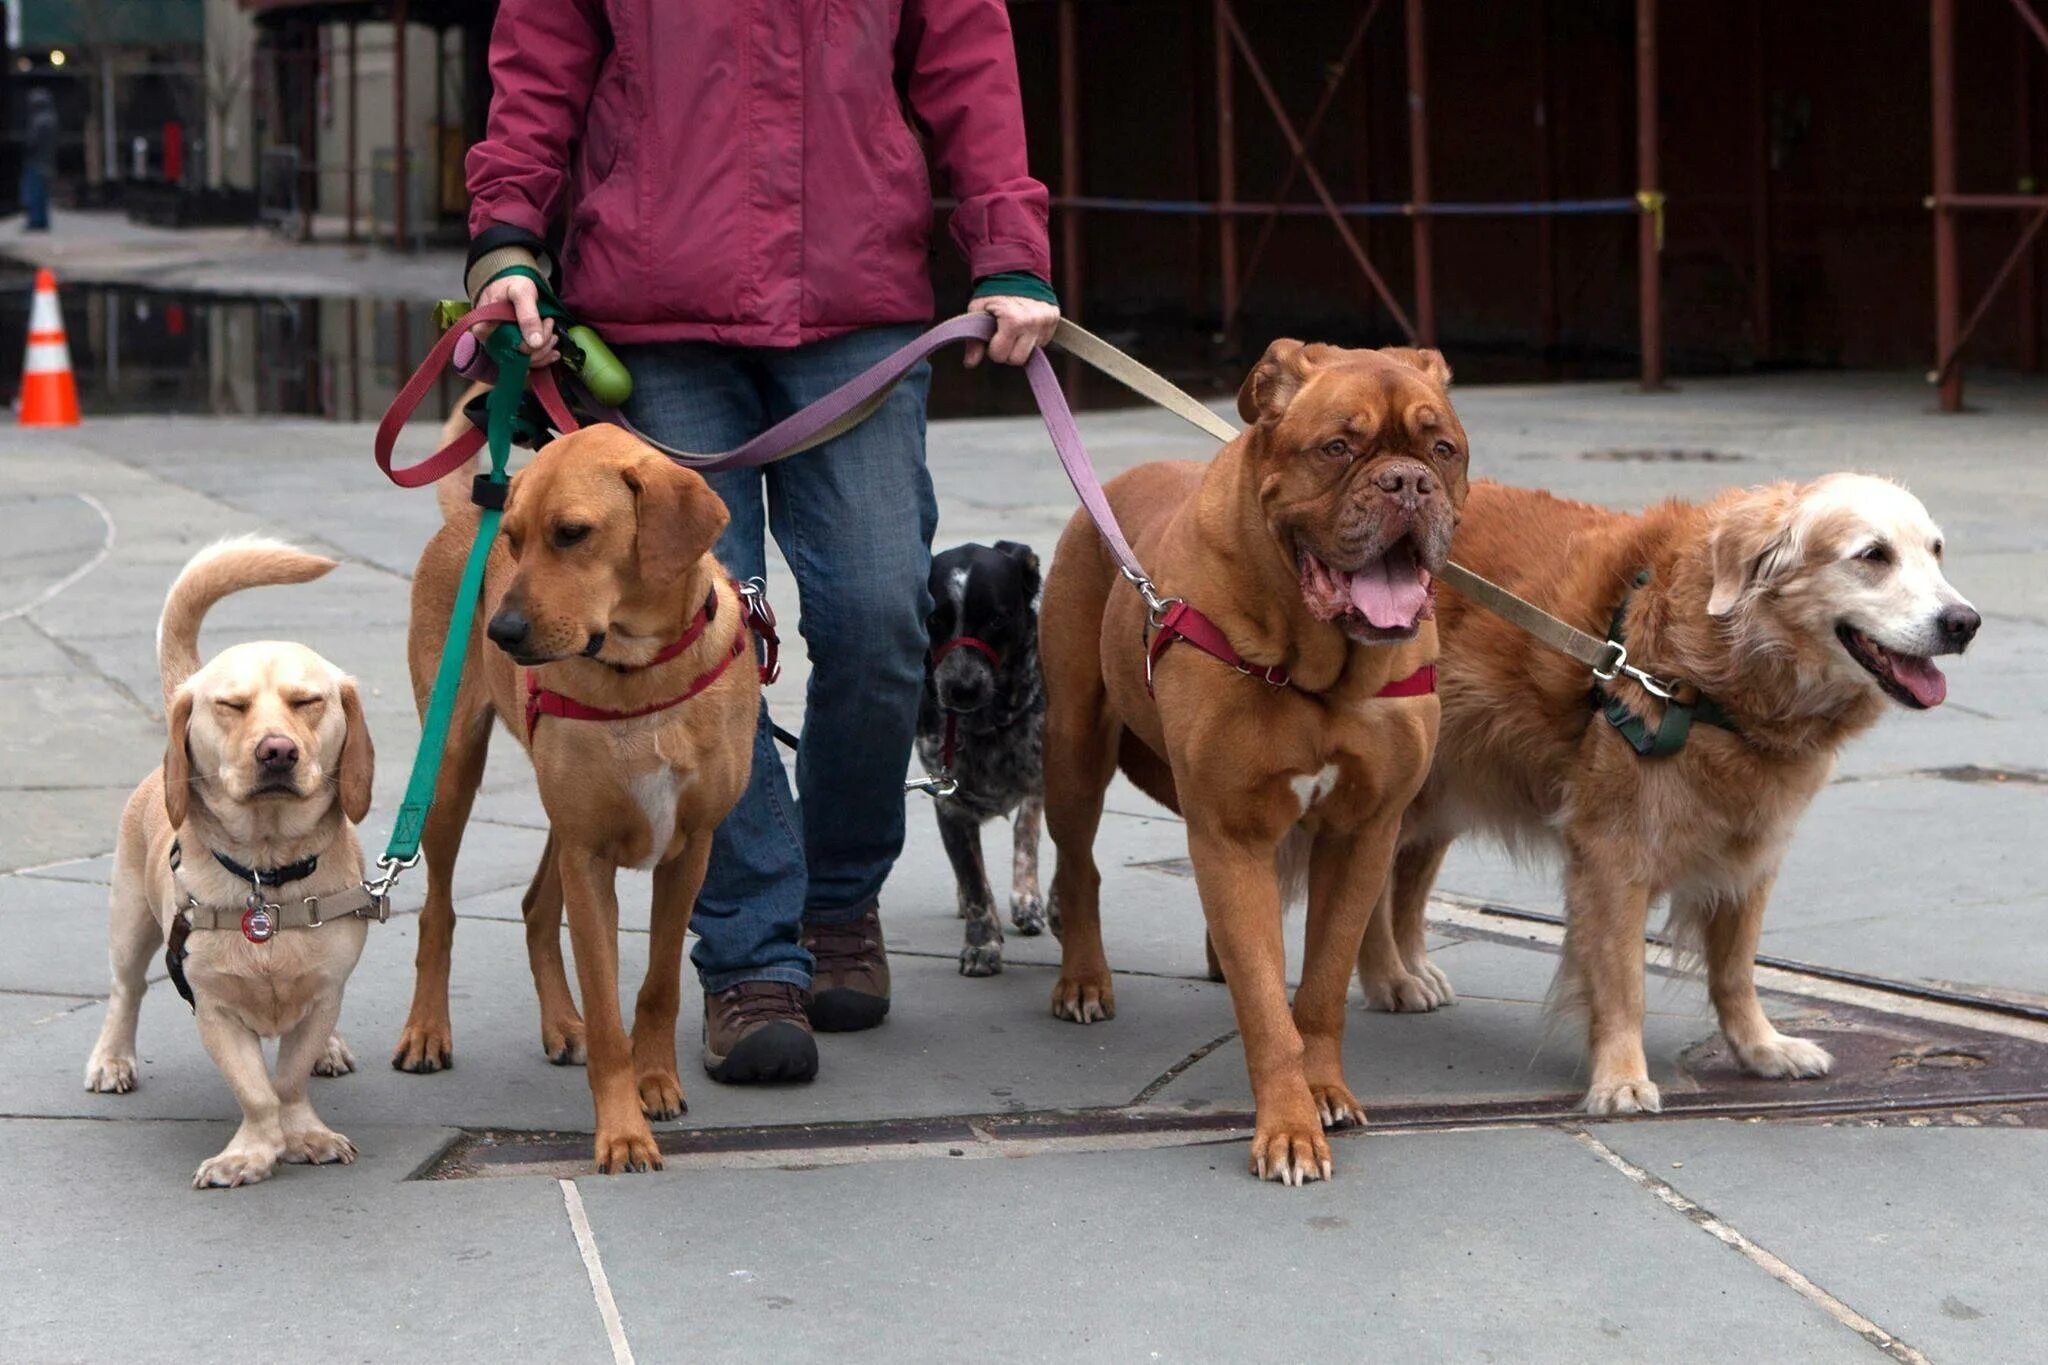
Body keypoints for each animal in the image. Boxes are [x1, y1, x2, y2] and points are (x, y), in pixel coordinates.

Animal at [82, 540, 380, 1186]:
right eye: (230, 706)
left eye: (307, 702)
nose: (277, 751)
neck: (267, 875)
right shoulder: (214, 1010)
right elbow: (257, 1091)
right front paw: (253, 1151)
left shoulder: (324, 993)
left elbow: (288, 1079)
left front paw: (303, 1135)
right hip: (130, 925)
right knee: (124, 993)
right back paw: (112, 1058)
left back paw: (329, 1050)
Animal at [393, 419, 761, 1178]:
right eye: (514, 540)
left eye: (572, 533)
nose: (499, 631)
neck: (639, 672)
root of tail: (463, 514)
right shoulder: (590, 857)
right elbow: (608, 1003)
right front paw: (621, 1132)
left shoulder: (691, 850)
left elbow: (657, 986)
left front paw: (656, 1081)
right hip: (449, 772)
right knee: (438, 911)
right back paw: (427, 1030)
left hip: (558, 816)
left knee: (536, 906)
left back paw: (563, 1024)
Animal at [921, 540, 1048, 978]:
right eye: (934, 619)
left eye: (996, 619)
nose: (961, 688)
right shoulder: (949, 801)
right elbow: (975, 881)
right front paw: (982, 944)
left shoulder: (1044, 777)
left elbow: (1026, 834)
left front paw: (1027, 900)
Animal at [1040, 339, 1474, 1186]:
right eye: (1337, 447)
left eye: (1441, 449)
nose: (1406, 483)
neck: (1319, 664)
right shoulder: (1230, 831)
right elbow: (1268, 1007)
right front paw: (1289, 1127)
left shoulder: (1362, 832)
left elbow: (1322, 983)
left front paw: (1324, 1091)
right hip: (1072, 752)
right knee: (1079, 867)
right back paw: (1083, 978)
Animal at [1368, 474, 1974, 1113]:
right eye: (1873, 556)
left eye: (1936, 551)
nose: (1966, 622)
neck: (1714, 676)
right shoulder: (1612, 855)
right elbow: (1624, 981)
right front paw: (1620, 1076)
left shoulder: (1749, 854)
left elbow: (1734, 970)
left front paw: (1760, 1047)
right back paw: (1389, 978)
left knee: (1401, 881)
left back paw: (1406, 971)